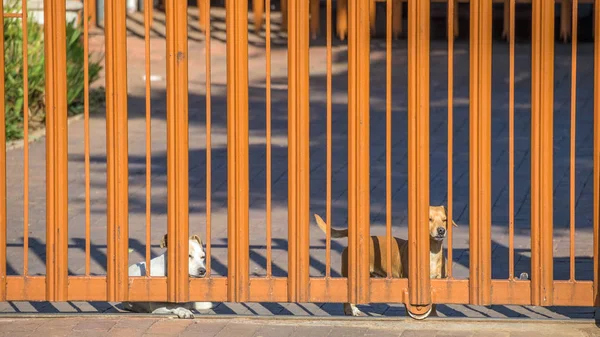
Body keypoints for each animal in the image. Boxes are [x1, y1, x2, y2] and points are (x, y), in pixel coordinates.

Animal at [314, 203, 454, 316]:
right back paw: (353, 310)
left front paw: (433, 315)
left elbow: (434, 303)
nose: (441, 230)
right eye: (429, 219)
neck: (432, 251)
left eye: (445, 220)